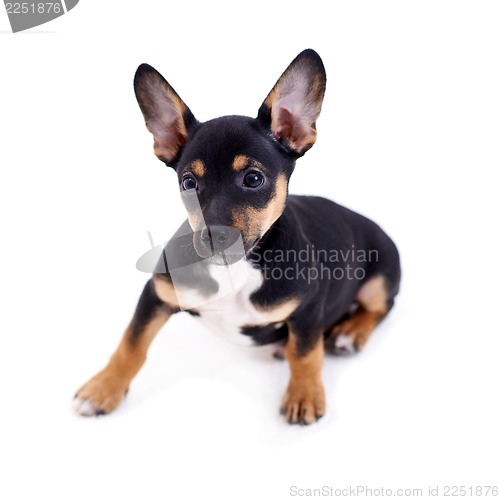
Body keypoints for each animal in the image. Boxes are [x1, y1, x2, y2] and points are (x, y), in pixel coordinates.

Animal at [74, 50, 400, 424]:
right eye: (188, 183)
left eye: (253, 179)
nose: (213, 238)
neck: (236, 268)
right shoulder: (156, 294)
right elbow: (131, 343)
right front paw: (103, 388)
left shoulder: (308, 310)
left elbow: (305, 353)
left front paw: (304, 394)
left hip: (380, 277)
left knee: (379, 307)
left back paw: (349, 332)